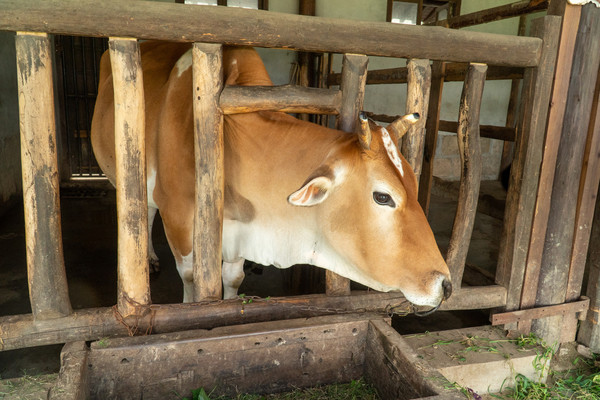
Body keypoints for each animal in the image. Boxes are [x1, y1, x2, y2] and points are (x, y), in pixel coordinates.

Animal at [91, 41, 452, 311]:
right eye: (382, 196)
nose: (446, 284)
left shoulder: (238, 232)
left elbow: (233, 278)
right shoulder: (179, 216)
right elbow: (192, 278)